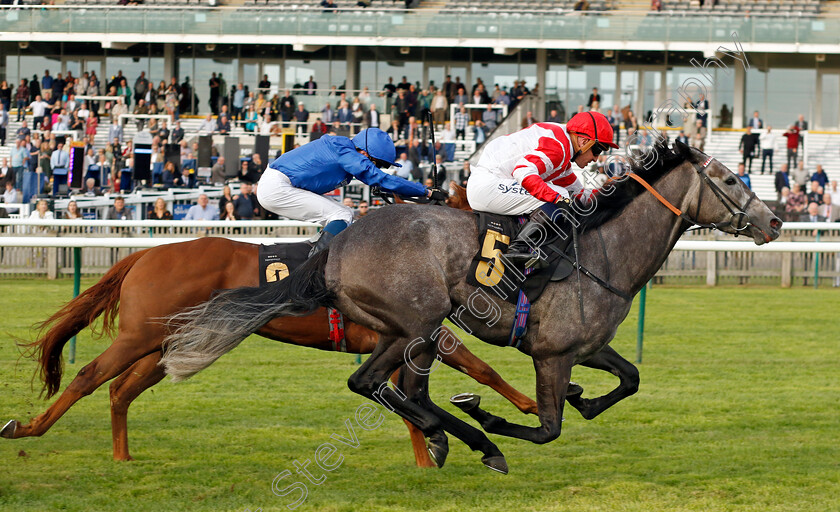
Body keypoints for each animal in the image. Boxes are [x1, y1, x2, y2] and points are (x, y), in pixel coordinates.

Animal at [1, 187, 540, 464]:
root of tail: (145, 255)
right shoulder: (420, 331)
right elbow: (478, 368)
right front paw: (530, 407)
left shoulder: (400, 339)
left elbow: (413, 399)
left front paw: (434, 449)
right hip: (140, 336)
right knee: (89, 376)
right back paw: (27, 428)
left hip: (169, 344)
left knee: (120, 391)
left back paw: (122, 456)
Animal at [162, 139, 780, 472]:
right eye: (728, 179)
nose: (774, 221)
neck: (602, 251)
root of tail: (338, 242)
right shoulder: (551, 354)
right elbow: (547, 427)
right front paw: (494, 419)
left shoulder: (583, 346)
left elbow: (629, 379)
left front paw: (582, 400)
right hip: (419, 323)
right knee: (381, 386)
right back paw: (469, 436)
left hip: (402, 331)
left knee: (382, 386)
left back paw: (446, 433)